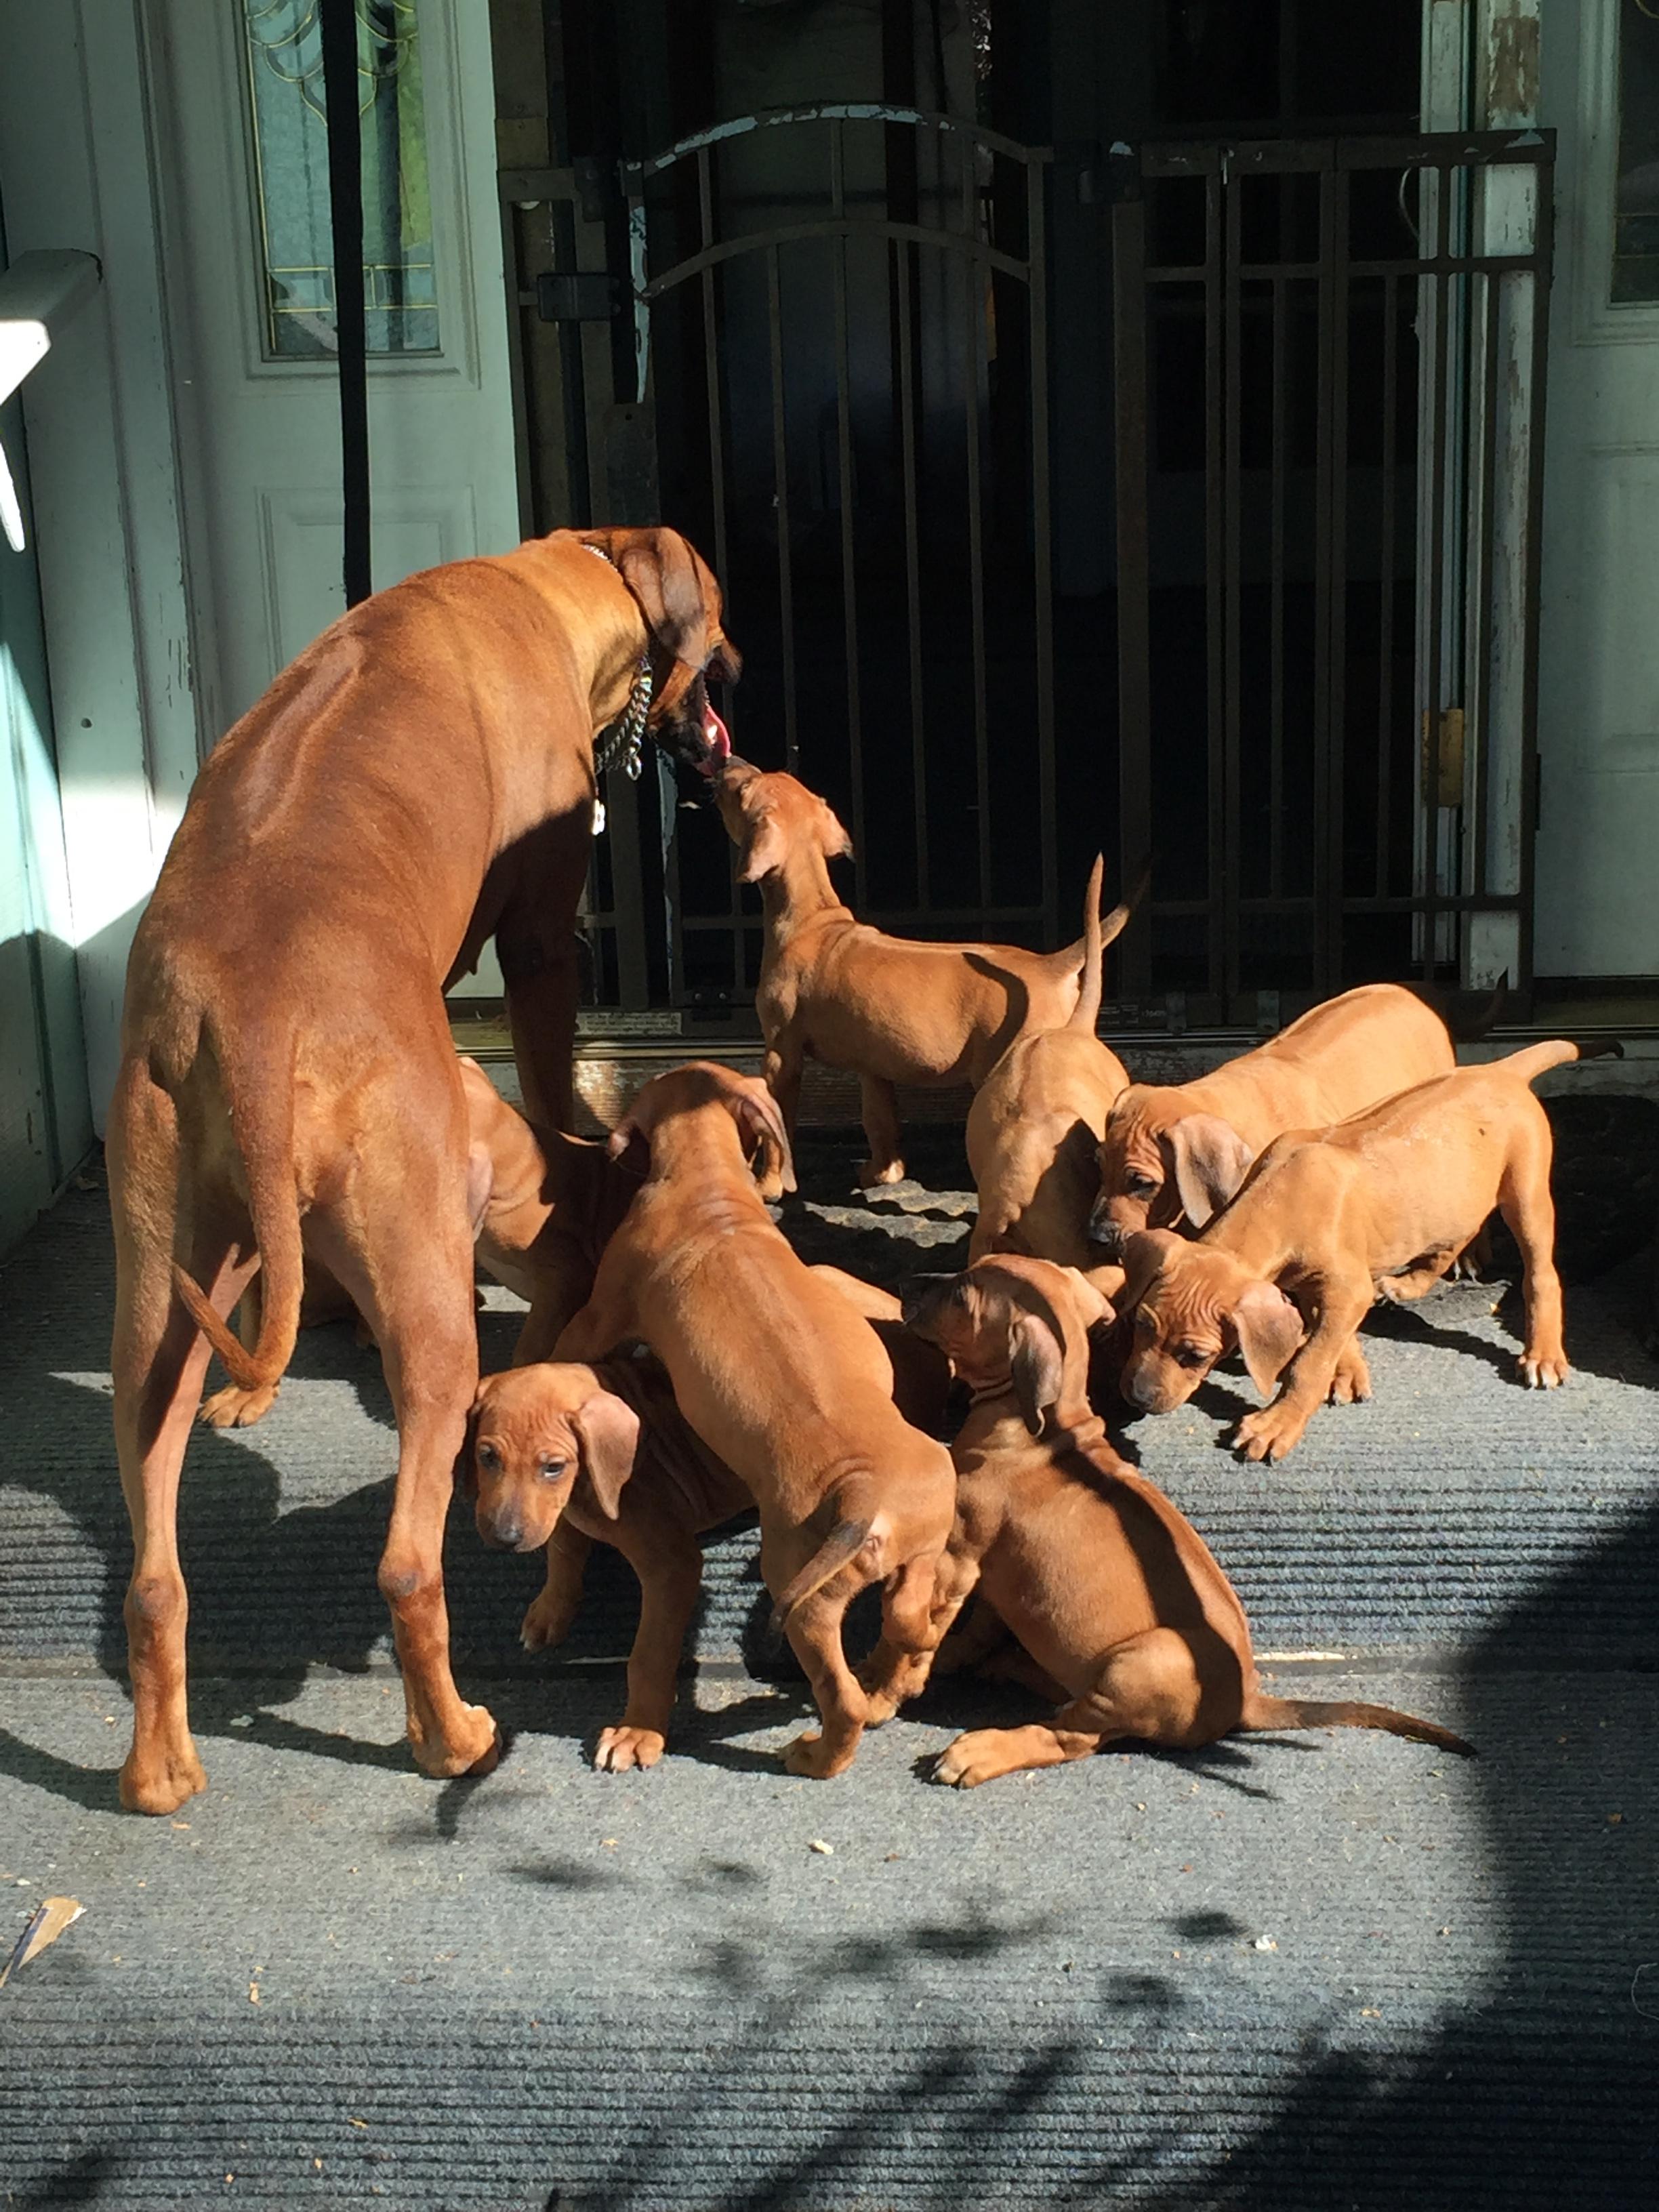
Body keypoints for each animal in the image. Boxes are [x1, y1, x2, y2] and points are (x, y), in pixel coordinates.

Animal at [110, 525, 736, 1814]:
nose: (736, 678)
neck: (550, 578)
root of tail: (247, 1004)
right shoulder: (542, 936)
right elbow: (547, 1078)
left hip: (154, 1283)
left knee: (152, 1569)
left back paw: (157, 1773)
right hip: (432, 1306)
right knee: (407, 1564)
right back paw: (452, 1738)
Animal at [550, 1062, 958, 1778]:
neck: (706, 1185)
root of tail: (864, 1495)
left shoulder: (600, 1311)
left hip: (801, 1591)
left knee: (841, 1694)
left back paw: (817, 1754)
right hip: (922, 1541)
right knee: (909, 1617)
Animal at [714, 760, 1132, 1191]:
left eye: (744, 789)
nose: (728, 763)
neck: (811, 919)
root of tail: (1051, 964)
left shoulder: (782, 1054)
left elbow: (775, 1127)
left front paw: (767, 1185)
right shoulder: (874, 1067)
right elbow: (879, 1120)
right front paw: (882, 1173)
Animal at [890, 1256, 1473, 1785]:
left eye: (962, 1295)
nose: (906, 1285)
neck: (1042, 1428)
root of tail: (1244, 1702)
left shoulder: (959, 1555)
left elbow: (925, 1624)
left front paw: (893, 1681)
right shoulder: (994, 1571)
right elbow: (976, 1625)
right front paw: (954, 1656)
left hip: (1142, 1661)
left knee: (1073, 1736)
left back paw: (982, 1750)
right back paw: (1009, 1667)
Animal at [1115, 1041, 1582, 1464]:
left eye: (1196, 1356)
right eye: (1140, 1324)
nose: (1137, 1398)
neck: (1276, 1197)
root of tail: (1499, 1070)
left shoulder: (1346, 1287)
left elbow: (1310, 1360)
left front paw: (1278, 1423)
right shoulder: (1313, 1284)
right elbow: (1330, 1336)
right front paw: (1347, 1370)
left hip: (1525, 1194)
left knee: (1540, 1273)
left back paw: (1542, 1353)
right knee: (1450, 1241)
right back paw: (1408, 1284)